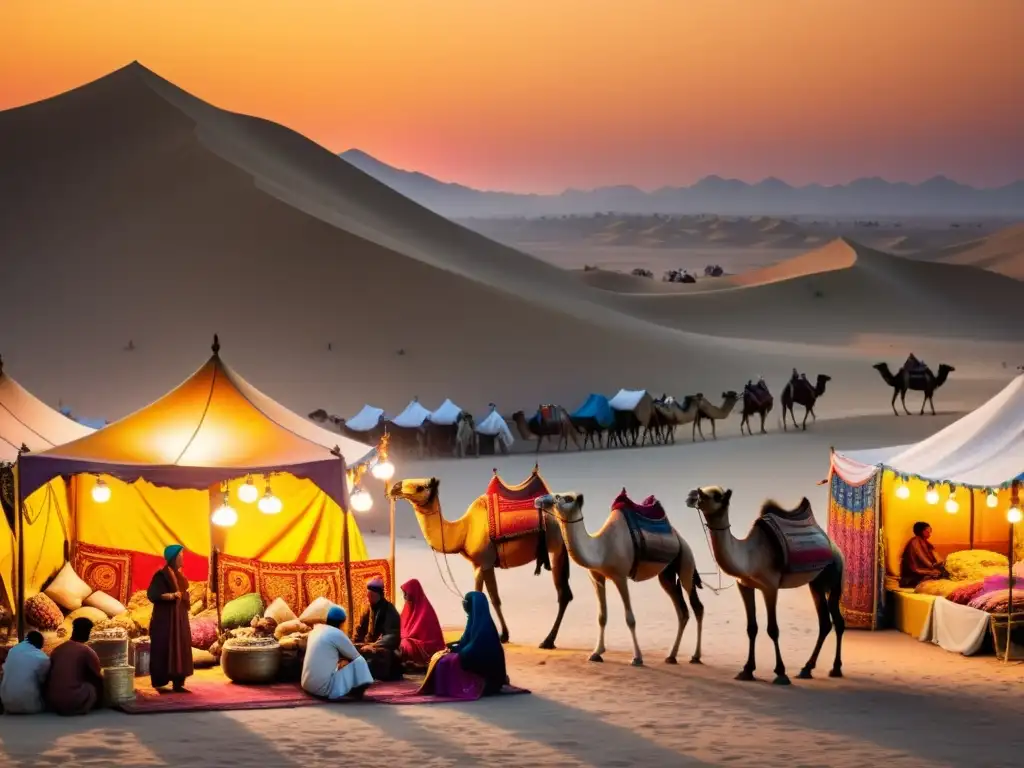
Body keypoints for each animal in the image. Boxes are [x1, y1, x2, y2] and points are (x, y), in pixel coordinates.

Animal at [389, 475, 573, 651]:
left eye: (420, 487)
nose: (394, 487)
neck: (464, 530)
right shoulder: (479, 564)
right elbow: (482, 596)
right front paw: (499, 634)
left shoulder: (485, 562)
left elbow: (488, 598)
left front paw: (493, 635)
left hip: (556, 548)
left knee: (563, 595)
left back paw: (548, 641)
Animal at [536, 493, 704, 667]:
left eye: (565, 498)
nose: (540, 500)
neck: (601, 549)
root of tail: (681, 539)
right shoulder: (596, 577)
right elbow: (601, 616)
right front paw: (596, 653)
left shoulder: (620, 576)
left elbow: (630, 618)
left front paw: (637, 658)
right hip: (667, 575)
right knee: (682, 611)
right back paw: (671, 656)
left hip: (686, 561)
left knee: (696, 605)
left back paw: (695, 656)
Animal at [684, 487, 843, 684]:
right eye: (702, 491)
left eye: (716, 496)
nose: (694, 495)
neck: (749, 556)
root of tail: (835, 548)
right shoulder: (745, 585)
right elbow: (751, 628)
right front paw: (747, 670)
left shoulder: (770, 587)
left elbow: (773, 629)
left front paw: (781, 673)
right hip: (816, 583)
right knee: (827, 622)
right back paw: (810, 669)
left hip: (832, 576)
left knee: (835, 621)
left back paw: (830, 668)